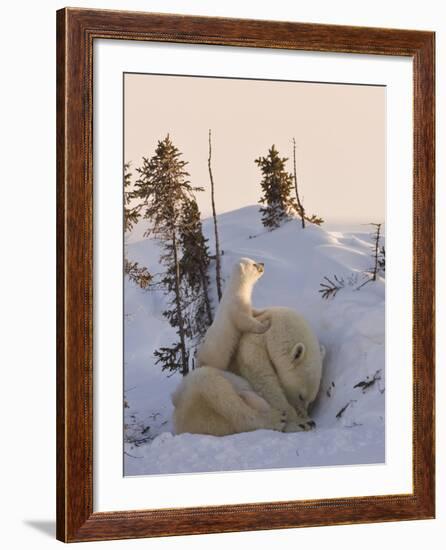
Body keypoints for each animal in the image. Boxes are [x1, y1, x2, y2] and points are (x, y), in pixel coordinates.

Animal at [172, 308, 324, 438]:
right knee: (218, 391)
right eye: (301, 396)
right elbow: (265, 382)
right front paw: (300, 421)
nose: (306, 414)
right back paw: (275, 419)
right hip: (194, 398)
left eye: (311, 400)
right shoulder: (251, 346)